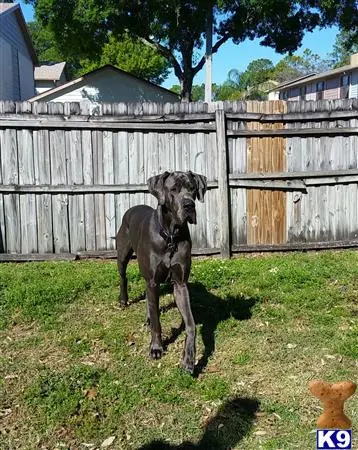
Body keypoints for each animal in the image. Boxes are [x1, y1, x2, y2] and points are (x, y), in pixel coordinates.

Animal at [117, 170, 207, 372]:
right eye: (173, 189)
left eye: (192, 188)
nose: (189, 205)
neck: (171, 236)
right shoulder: (152, 281)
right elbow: (157, 321)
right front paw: (156, 347)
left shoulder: (180, 284)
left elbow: (191, 324)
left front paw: (189, 358)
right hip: (123, 254)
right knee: (123, 277)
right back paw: (124, 300)